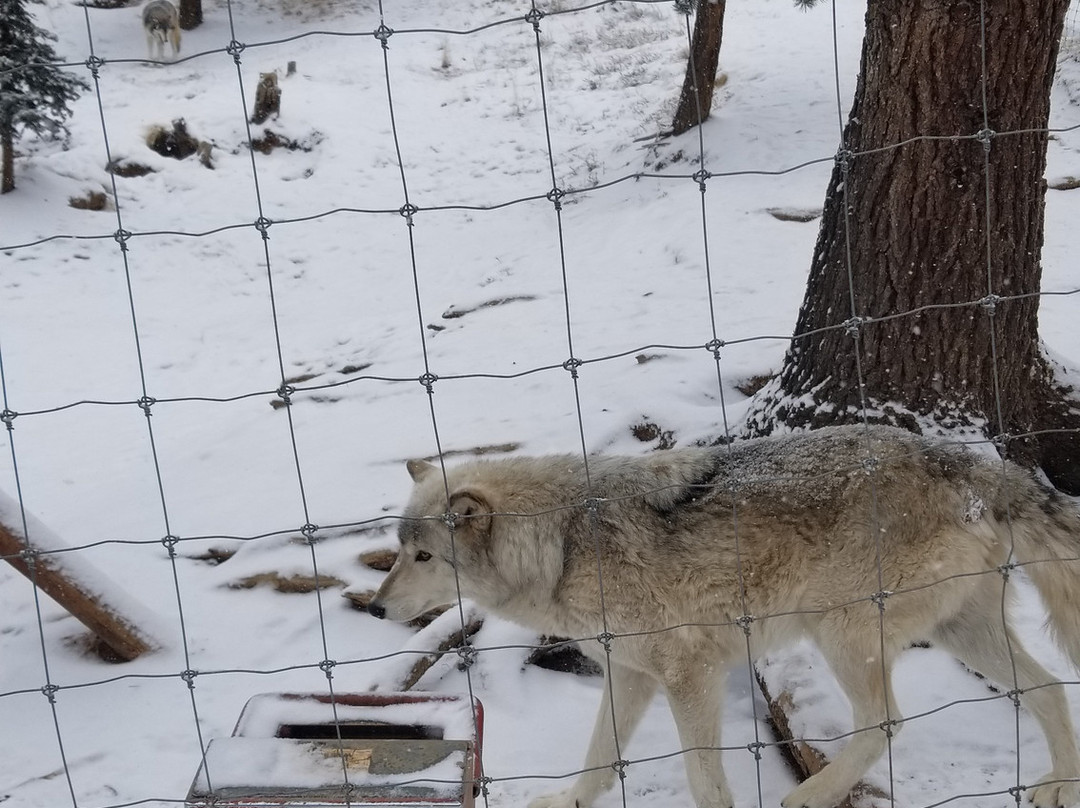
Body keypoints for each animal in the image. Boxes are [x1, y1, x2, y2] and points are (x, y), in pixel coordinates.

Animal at [369, 425, 1080, 803]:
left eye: (425, 555)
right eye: (400, 551)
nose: (374, 608)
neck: (564, 544)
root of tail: (967, 462)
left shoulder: (691, 676)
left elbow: (703, 780)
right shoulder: (630, 676)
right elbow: (598, 760)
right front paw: (567, 801)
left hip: (843, 633)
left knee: (887, 723)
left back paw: (809, 796)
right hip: (958, 632)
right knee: (1049, 689)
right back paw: (1061, 785)